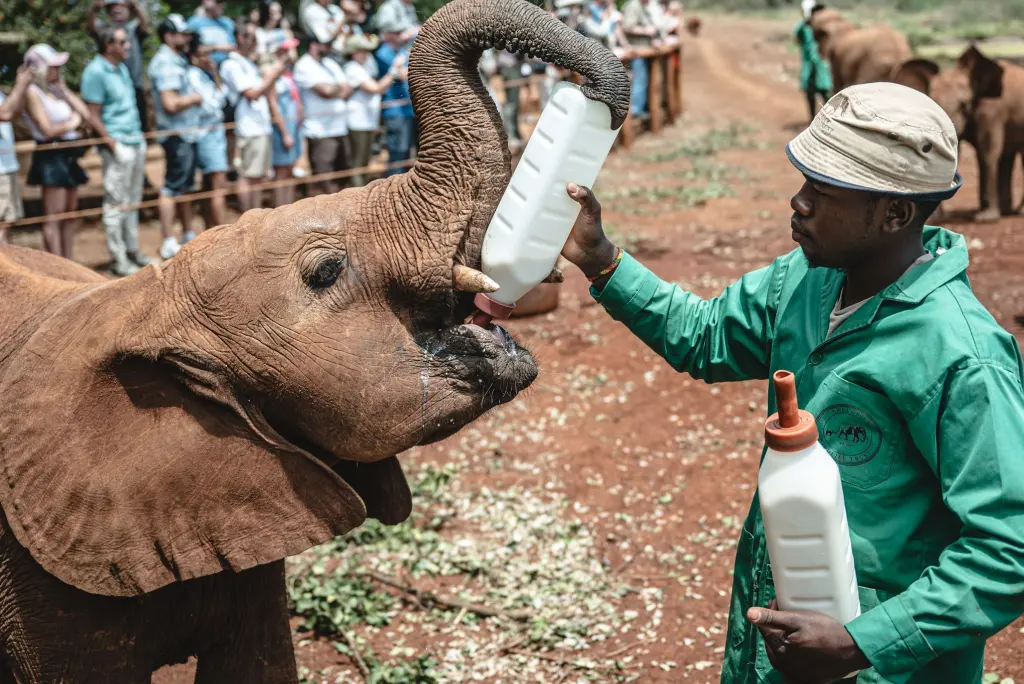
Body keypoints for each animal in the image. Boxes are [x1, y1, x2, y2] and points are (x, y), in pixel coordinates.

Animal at [894, 46, 1019, 223]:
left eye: (963, 105)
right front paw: (935, 218)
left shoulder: (991, 110)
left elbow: (988, 151)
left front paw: (986, 218)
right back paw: (1007, 211)